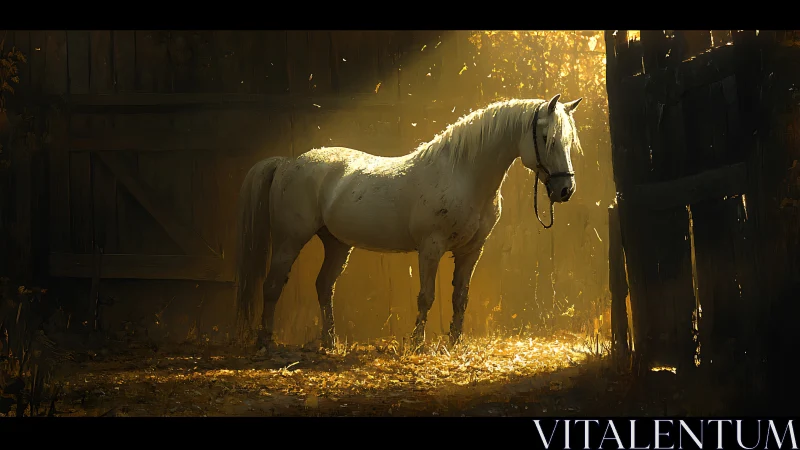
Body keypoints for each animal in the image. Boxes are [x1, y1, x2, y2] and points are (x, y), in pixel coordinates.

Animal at [235, 93, 583, 352]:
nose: (565, 190)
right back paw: (266, 344)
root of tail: (287, 162)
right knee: (272, 285)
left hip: (336, 243)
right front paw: (417, 345)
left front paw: (455, 344)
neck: (463, 174)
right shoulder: (431, 248)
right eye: (547, 138)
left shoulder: (471, 251)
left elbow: (461, 297)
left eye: (568, 141)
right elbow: (426, 296)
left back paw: (330, 343)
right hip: (288, 240)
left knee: (323, 286)